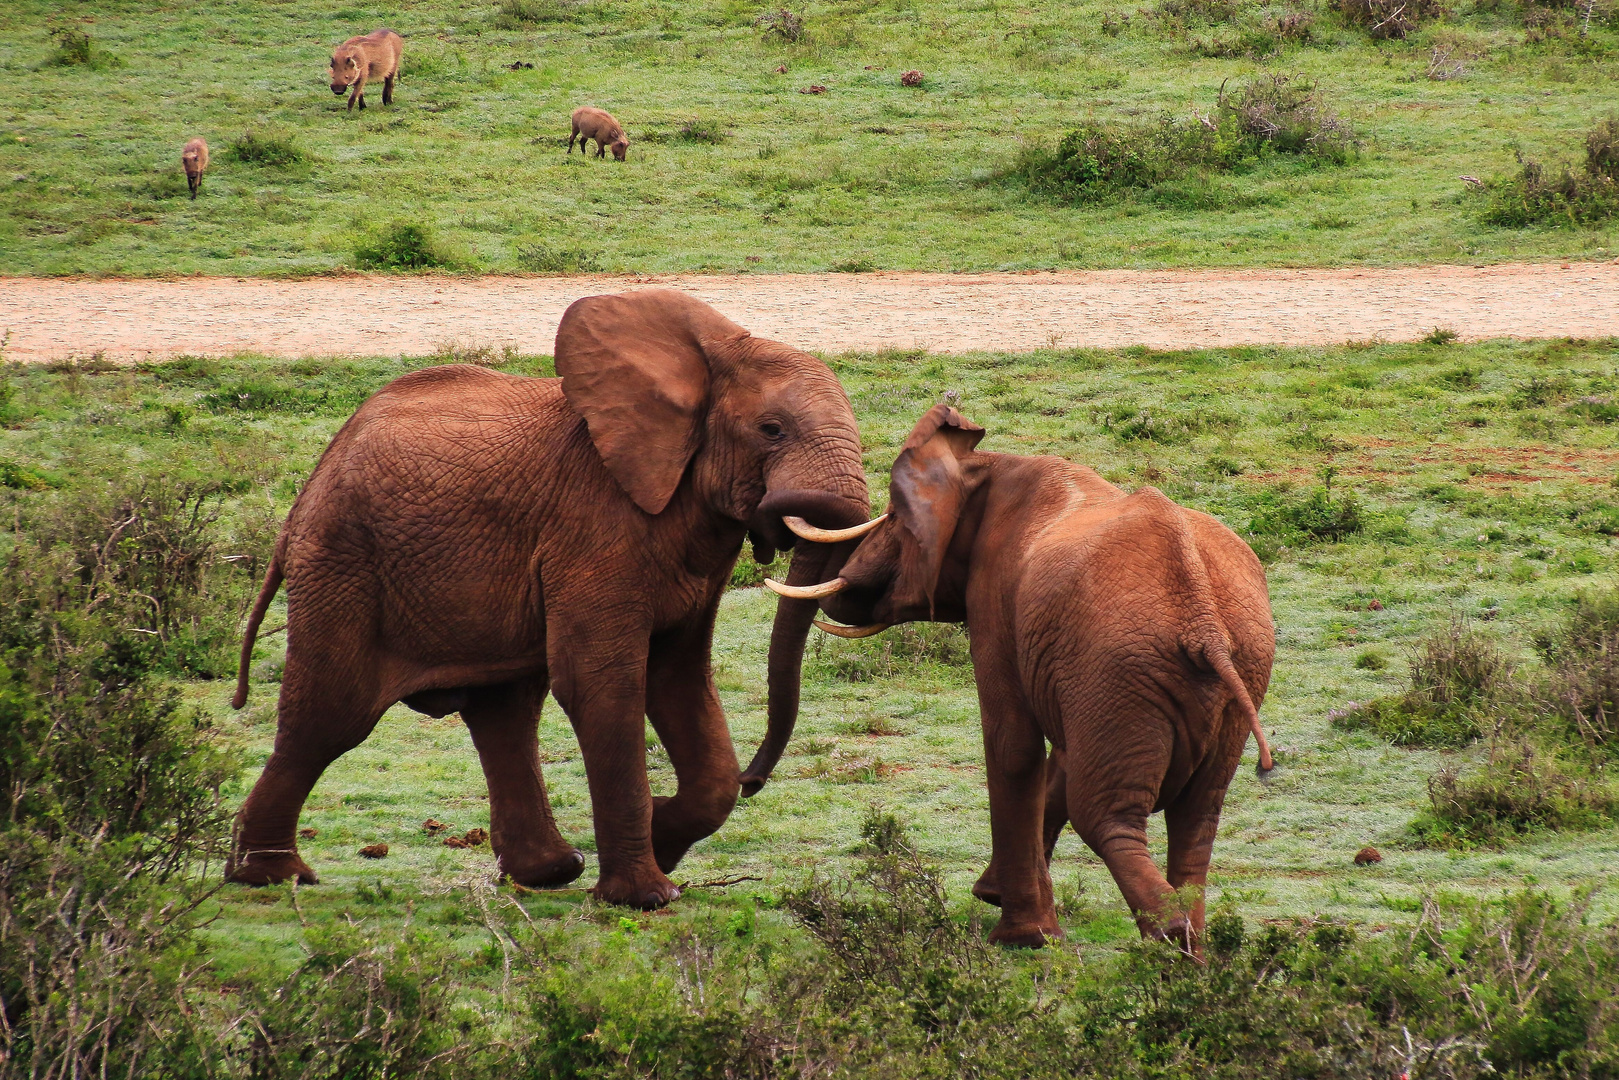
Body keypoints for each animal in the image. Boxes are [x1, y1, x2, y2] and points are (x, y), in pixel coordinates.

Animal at [225, 291, 887, 906]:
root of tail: (308, 488)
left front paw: (665, 839)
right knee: (330, 716)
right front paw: (647, 896)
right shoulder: (594, 524)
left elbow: (679, 678)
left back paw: (548, 872)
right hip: (342, 563)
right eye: (771, 430)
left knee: (504, 712)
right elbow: (602, 681)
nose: (756, 780)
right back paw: (272, 876)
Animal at [770, 404, 1275, 945]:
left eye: (895, 519)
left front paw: (1022, 938)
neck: (985, 464)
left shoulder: (996, 596)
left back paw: (1171, 936)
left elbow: (1012, 743)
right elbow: (1064, 755)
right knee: (1197, 816)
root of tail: (1200, 618)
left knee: (1104, 815)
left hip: (1125, 666)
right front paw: (1002, 905)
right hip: (1231, 670)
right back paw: (1195, 947)